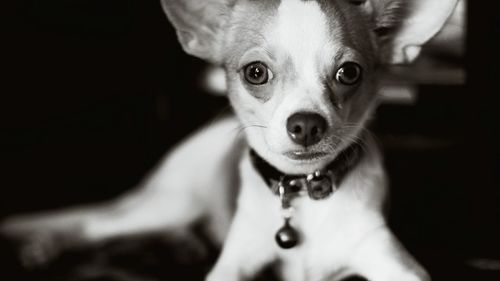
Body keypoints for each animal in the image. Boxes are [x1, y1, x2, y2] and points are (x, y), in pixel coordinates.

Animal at [1, 0, 458, 278]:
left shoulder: (393, 262)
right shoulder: (233, 265)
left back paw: (184, 244)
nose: (306, 124)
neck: (301, 194)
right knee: (93, 225)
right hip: (170, 203)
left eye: (349, 73)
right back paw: (44, 246)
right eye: (256, 72)